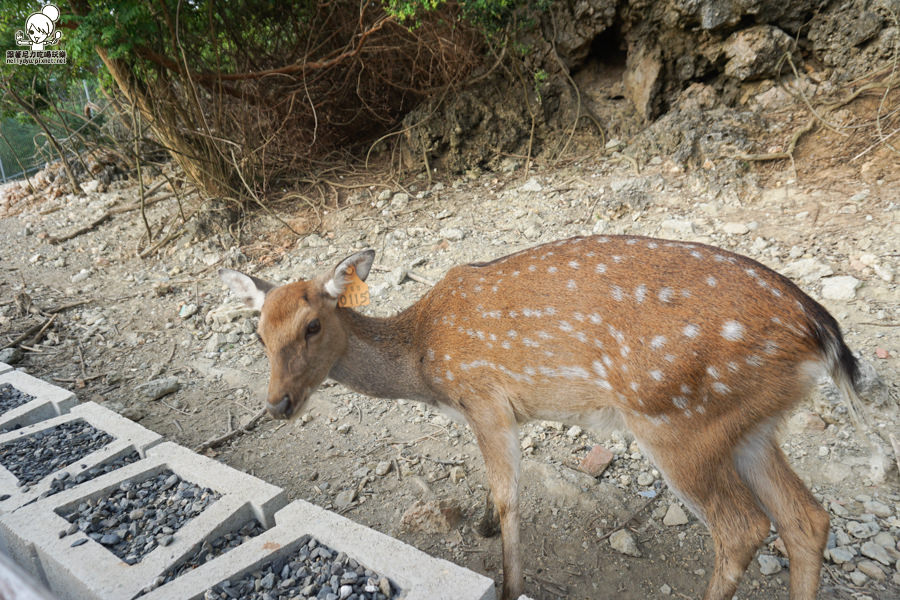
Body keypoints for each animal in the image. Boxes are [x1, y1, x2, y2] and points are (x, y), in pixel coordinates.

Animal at [220, 237, 864, 600]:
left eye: (312, 325)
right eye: (257, 334)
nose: (277, 404)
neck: (425, 362)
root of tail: (822, 333)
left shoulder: (486, 398)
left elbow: (510, 497)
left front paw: (510, 584)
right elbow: (495, 490)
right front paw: (480, 527)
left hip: (677, 418)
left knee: (742, 527)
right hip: (750, 424)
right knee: (806, 518)